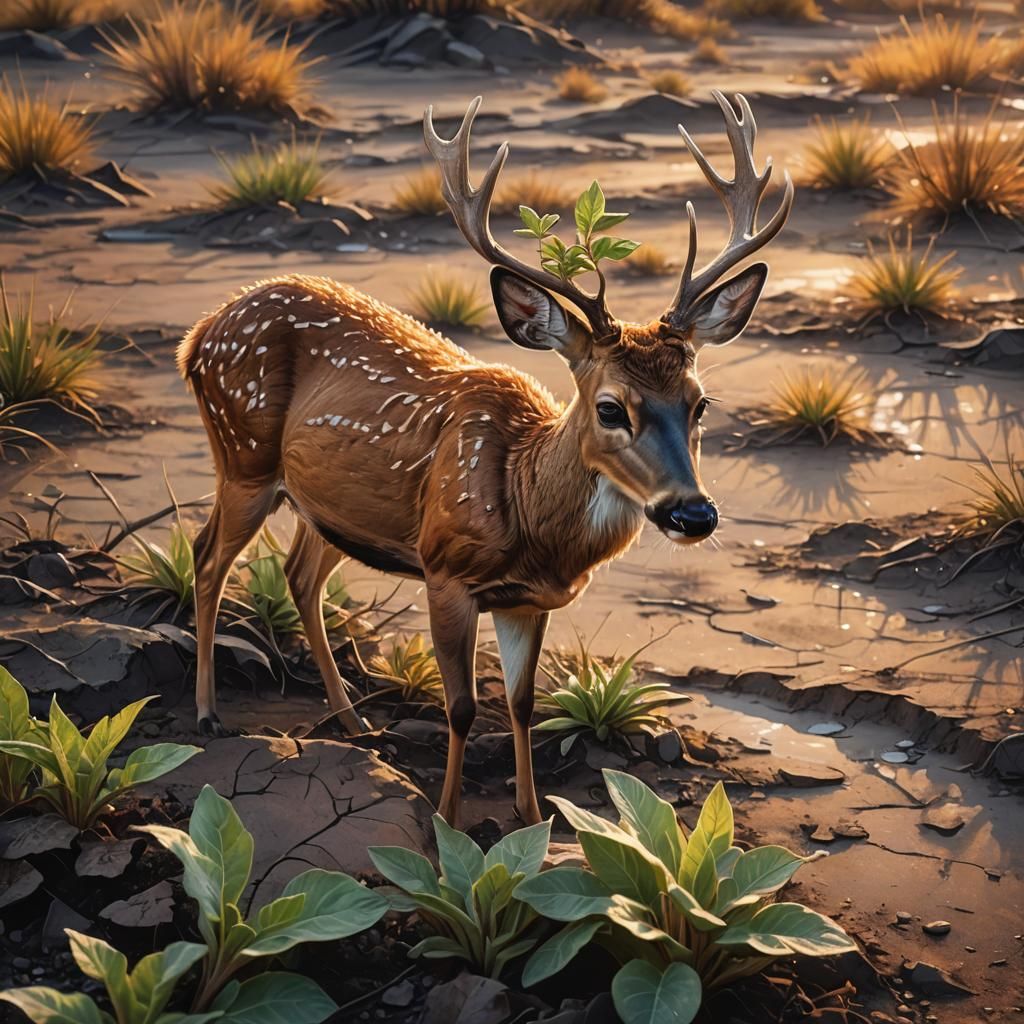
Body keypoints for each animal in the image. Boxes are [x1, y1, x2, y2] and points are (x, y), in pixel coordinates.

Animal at [178, 91, 792, 829]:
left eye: (700, 403)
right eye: (610, 407)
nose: (693, 514)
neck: (527, 512)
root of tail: (197, 336)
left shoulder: (529, 600)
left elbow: (522, 704)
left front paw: (531, 814)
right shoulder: (444, 568)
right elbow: (464, 708)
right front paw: (446, 818)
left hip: (329, 505)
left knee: (299, 575)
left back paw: (355, 722)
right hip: (242, 454)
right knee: (207, 556)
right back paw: (208, 714)